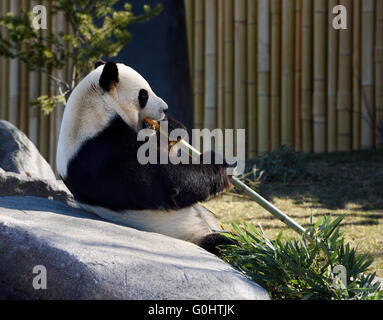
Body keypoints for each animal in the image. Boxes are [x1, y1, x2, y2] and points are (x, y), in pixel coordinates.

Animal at [55, 61, 232, 254]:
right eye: (143, 94)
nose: (165, 108)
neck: (94, 110)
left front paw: (171, 127)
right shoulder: (102, 153)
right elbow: (169, 181)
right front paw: (217, 164)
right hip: (188, 233)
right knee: (223, 243)